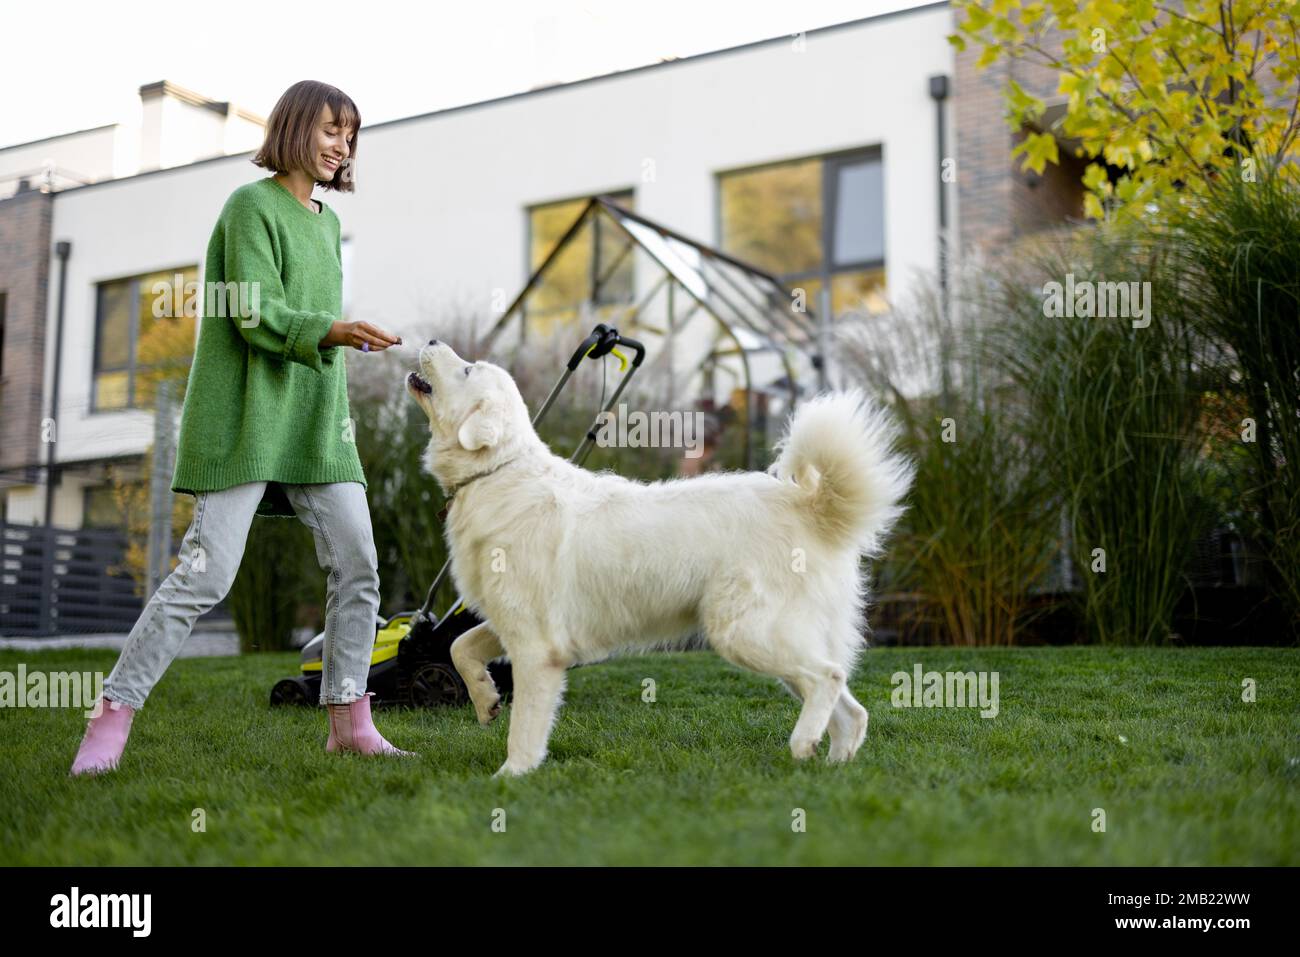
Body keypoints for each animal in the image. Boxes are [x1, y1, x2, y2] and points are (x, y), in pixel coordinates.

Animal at [405, 340, 915, 774]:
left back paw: (803, 743)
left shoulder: (537, 648)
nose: (430, 340)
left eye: (467, 370)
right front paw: (485, 700)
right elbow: (460, 647)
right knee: (850, 707)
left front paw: (512, 777)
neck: (495, 472)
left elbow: (524, 728)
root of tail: (809, 504)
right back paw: (831, 766)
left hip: (744, 633)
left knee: (828, 678)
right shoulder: (512, 623)